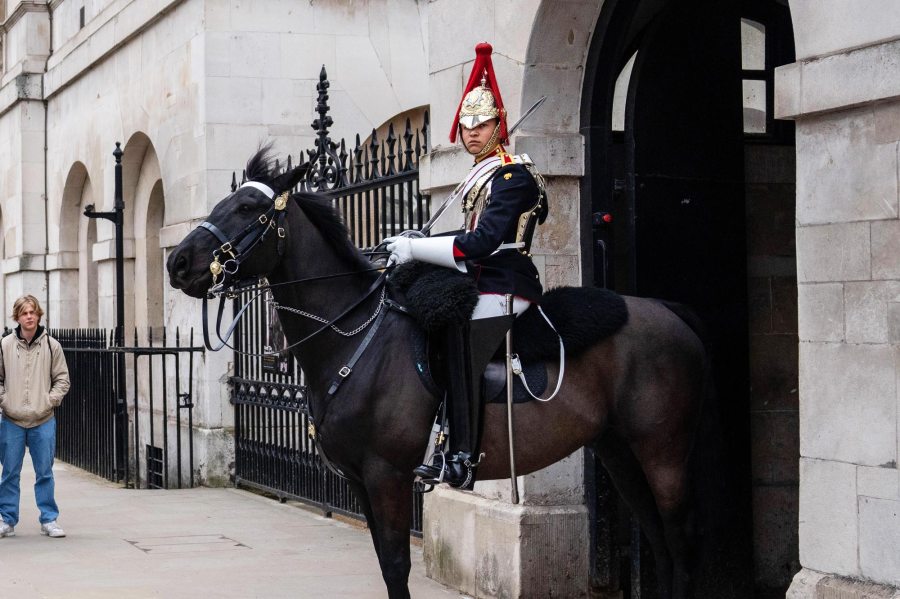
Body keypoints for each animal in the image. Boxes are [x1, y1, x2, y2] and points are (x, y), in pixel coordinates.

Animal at [165, 150, 708, 599]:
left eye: (246, 209)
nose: (178, 262)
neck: (352, 335)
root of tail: (666, 309)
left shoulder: (387, 474)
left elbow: (397, 566)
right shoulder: (360, 480)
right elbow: (386, 565)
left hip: (662, 451)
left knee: (680, 547)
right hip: (618, 451)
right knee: (660, 545)